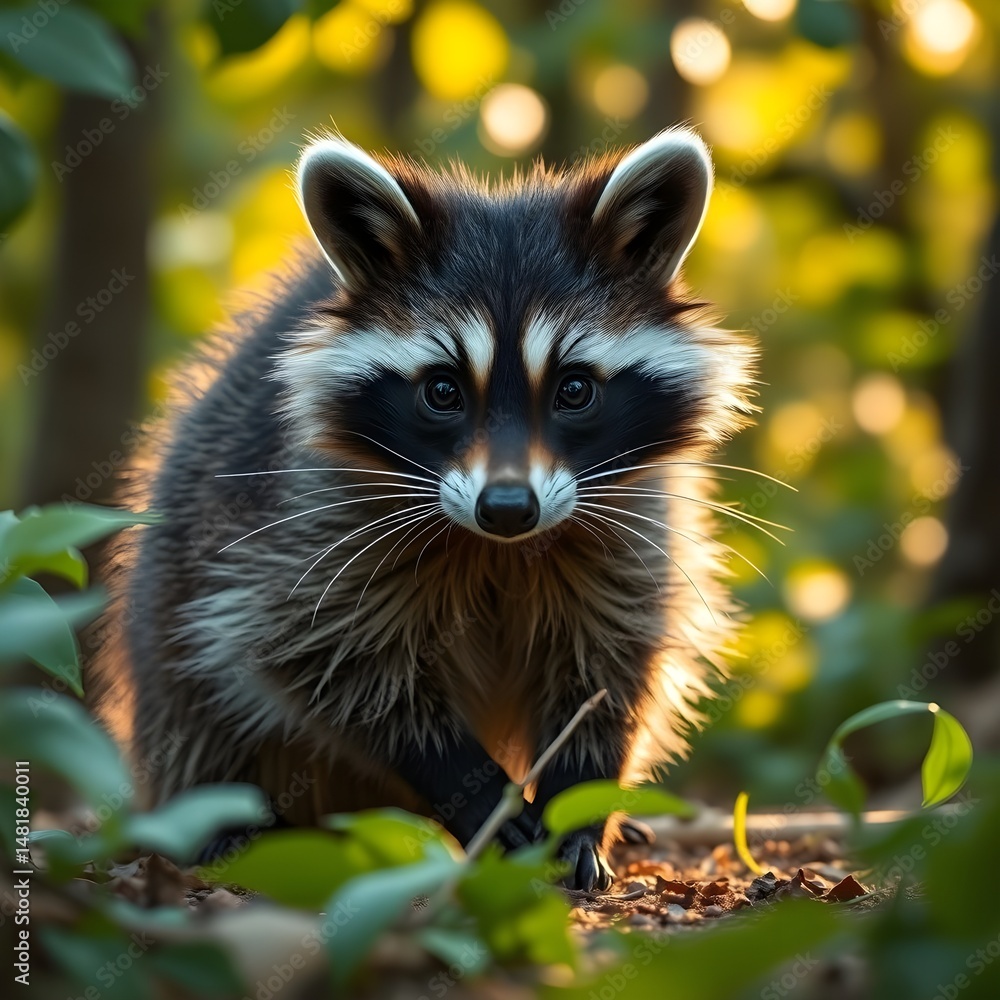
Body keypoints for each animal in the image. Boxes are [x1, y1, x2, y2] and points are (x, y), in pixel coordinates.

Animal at [95, 128, 757, 891]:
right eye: (442, 390)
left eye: (575, 389)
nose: (508, 507)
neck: (501, 549)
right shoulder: (304, 523)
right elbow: (322, 658)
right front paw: (471, 788)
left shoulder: (636, 519)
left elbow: (612, 665)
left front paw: (580, 803)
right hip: (173, 608)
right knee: (195, 701)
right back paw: (223, 820)